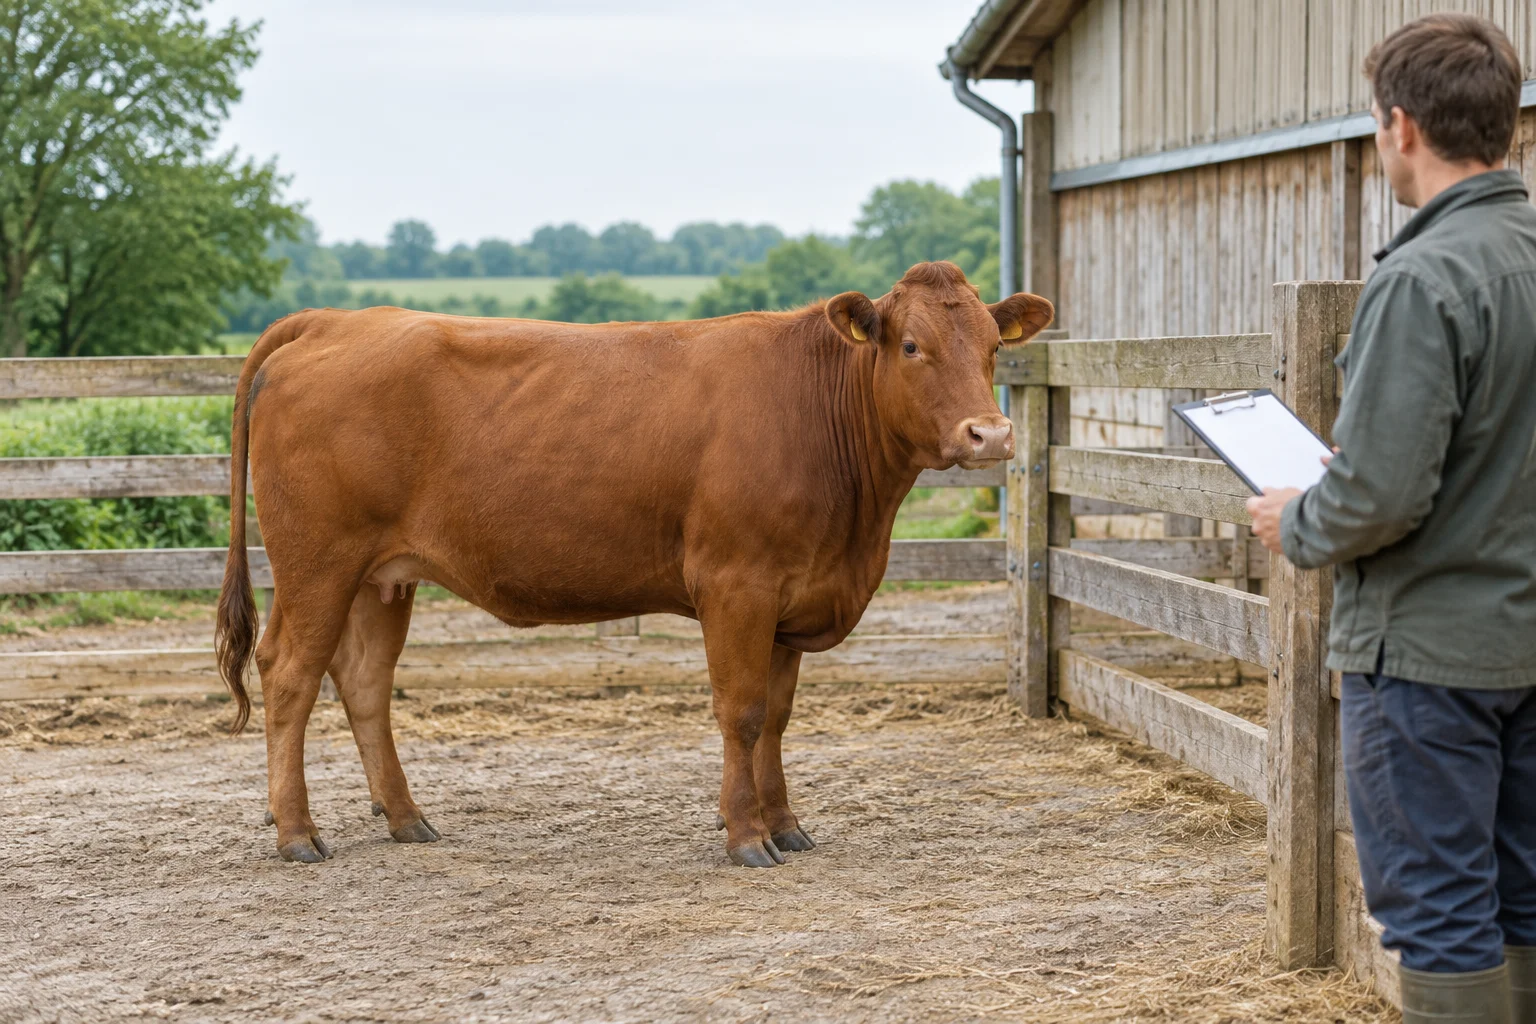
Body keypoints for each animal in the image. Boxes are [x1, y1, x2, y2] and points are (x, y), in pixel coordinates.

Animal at [215, 260, 1053, 867]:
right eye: (911, 346)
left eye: (992, 348)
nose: (990, 434)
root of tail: (337, 320)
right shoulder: (737, 586)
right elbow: (742, 713)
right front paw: (746, 837)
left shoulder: (791, 597)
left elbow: (778, 717)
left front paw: (786, 824)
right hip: (317, 564)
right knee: (288, 674)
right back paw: (297, 834)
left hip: (381, 577)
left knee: (363, 683)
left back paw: (406, 818)